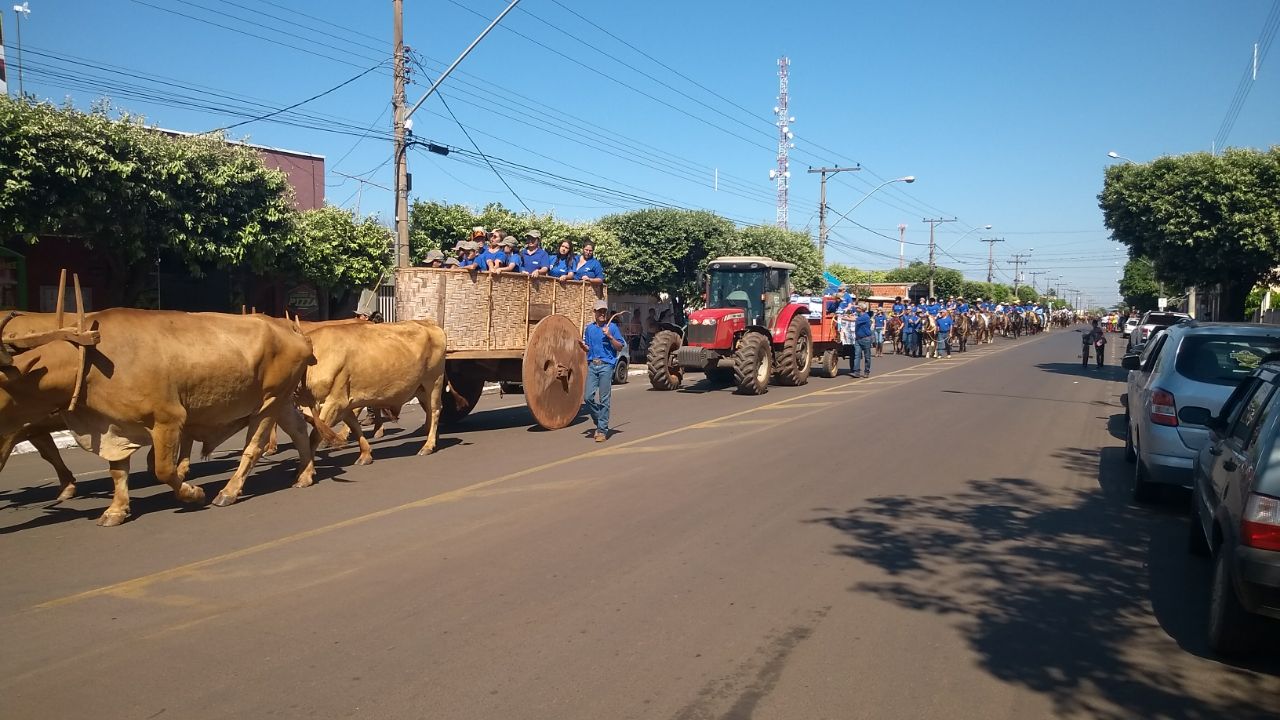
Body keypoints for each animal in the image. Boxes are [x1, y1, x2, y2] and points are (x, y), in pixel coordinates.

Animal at [0, 309, 336, 526]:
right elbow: (118, 472)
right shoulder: (115, 427)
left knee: (252, 448)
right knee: (298, 430)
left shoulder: (168, 420)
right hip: (281, 401)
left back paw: (228, 491)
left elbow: (164, 469)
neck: (89, 360)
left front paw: (193, 493)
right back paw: (305, 474)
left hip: (269, 402)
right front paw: (116, 509)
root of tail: (289, 329)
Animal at [296, 320, 447, 465]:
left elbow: (315, 435)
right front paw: (365, 455)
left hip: (434, 381)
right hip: (420, 388)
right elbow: (354, 426)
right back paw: (433, 437)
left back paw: (428, 445)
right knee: (429, 410)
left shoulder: (335, 402)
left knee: (435, 410)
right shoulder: (343, 404)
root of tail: (430, 324)